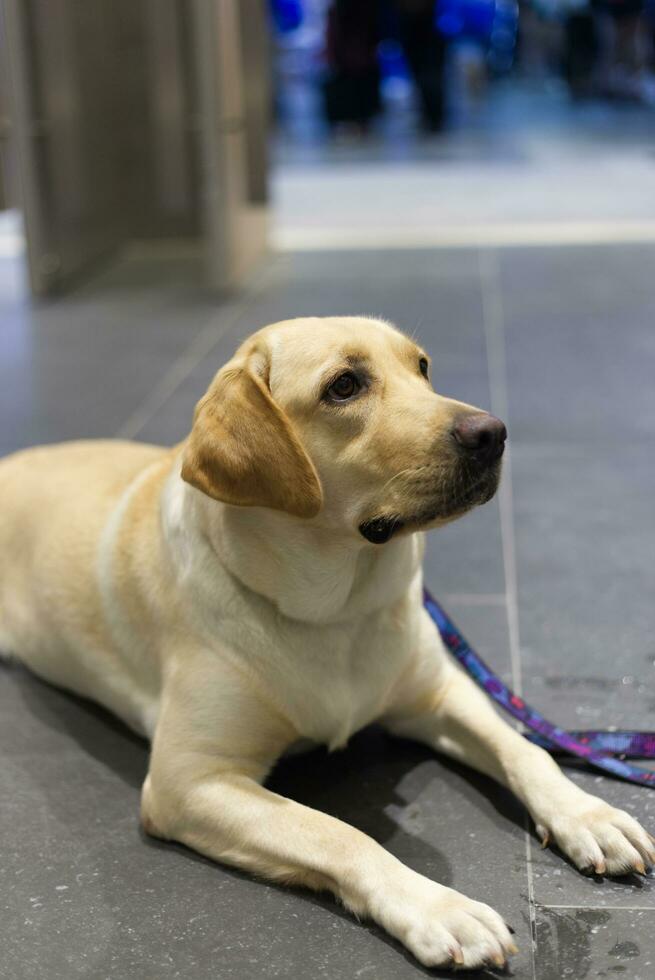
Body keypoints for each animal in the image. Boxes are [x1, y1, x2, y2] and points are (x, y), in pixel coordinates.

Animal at [0, 318, 652, 968]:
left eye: (421, 367)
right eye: (344, 386)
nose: (492, 433)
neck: (337, 613)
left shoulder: (439, 694)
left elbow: (524, 749)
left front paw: (587, 814)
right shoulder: (189, 780)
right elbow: (337, 832)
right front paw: (439, 908)